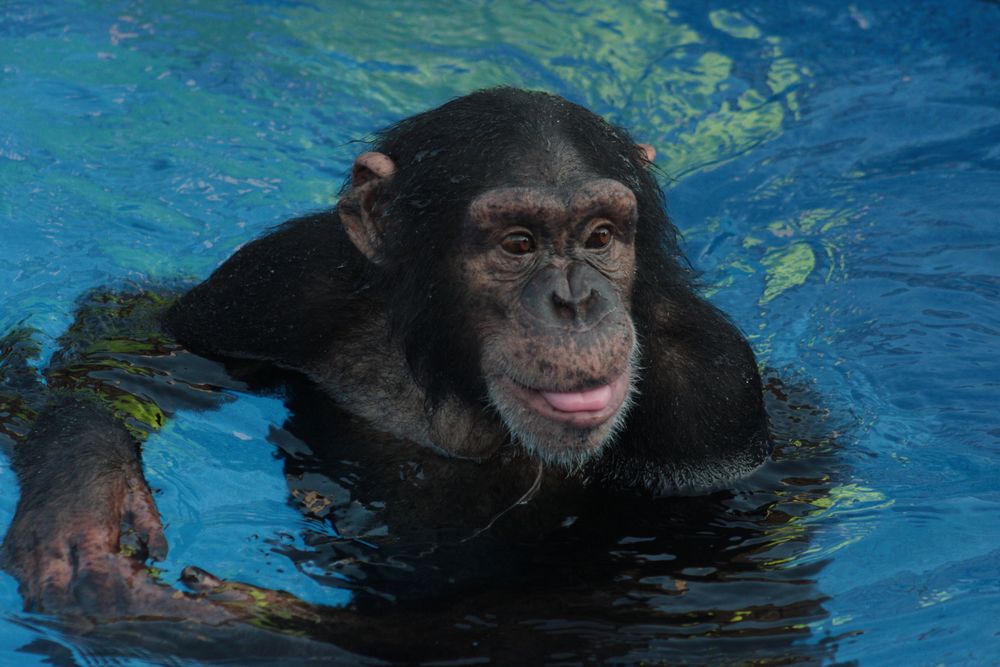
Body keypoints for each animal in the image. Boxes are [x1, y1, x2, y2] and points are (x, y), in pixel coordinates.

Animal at [0, 87, 768, 620]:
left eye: (601, 236)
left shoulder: (715, 388)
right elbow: (147, 353)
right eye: (518, 242)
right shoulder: (278, 279)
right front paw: (80, 512)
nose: (575, 301)